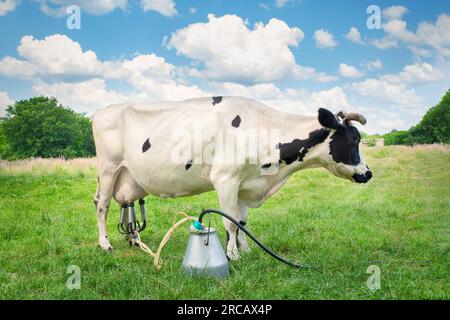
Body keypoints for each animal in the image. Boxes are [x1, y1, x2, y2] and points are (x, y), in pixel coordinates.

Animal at [92, 95, 372, 260]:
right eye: (354, 139)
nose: (368, 173)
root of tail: (102, 110)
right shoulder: (225, 179)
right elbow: (229, 222)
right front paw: (232, 255)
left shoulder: (246, 185)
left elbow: (242, 222)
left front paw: (245, 250)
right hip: (108, 168)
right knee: (102, 205)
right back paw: (105, 244)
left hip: (127, 176)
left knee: (120, 203)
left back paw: (133, 239)